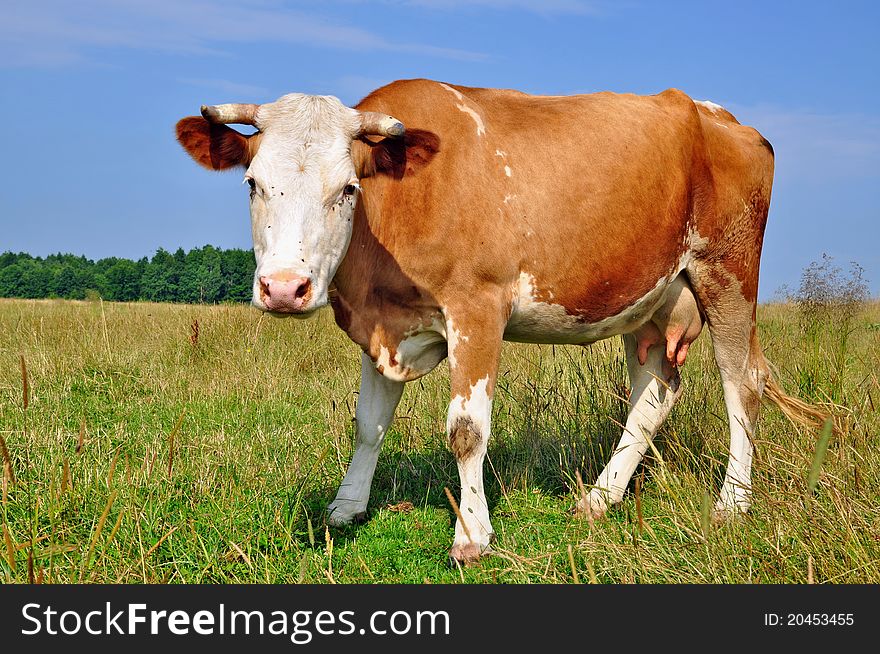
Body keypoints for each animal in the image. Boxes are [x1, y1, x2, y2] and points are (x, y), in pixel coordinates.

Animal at [175, 79, 828, 568]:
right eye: (253, 183)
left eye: (348, 189)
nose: (285, 288)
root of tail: (723, 117)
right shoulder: (383, 325)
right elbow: (367, 424)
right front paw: (346, 507)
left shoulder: (477, 308)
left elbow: (466, 430)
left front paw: (472, 536)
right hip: (652, 297)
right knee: (654, 395)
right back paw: (599, 499)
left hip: (728, 273)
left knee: (742, 384)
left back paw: (732, 504)